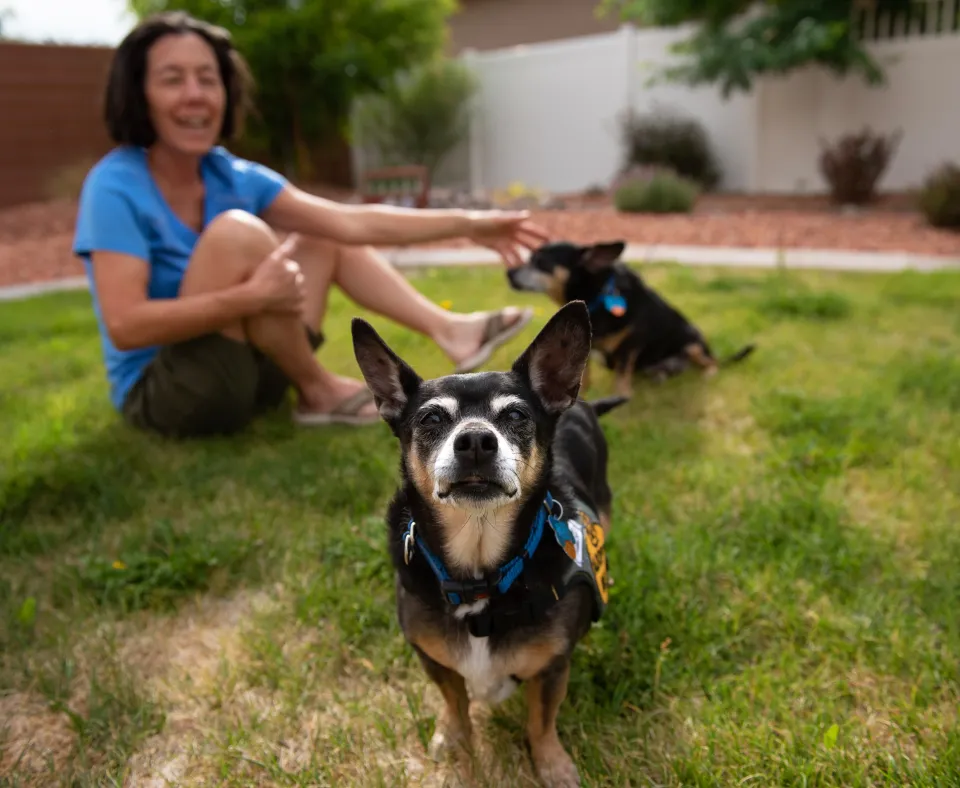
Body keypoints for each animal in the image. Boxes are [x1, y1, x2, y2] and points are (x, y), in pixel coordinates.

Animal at [350, 302, 624, 788]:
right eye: (431, 419)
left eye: (516, 416)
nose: (476, 439)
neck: (480, 578)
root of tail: (582, 403)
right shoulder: (433, 659)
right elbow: (454, 700)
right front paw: (452, 736)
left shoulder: (552, 668)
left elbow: (541, 720)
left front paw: (552, 764)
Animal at [506, 239, 752, 394]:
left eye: (540, 261)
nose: (508, 272)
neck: (597, 297)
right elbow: (585, 375)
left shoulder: (629, 346)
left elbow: (621, 379)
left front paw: (621, 400)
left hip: (692, 343)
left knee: (713, 361)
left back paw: (709, 372)